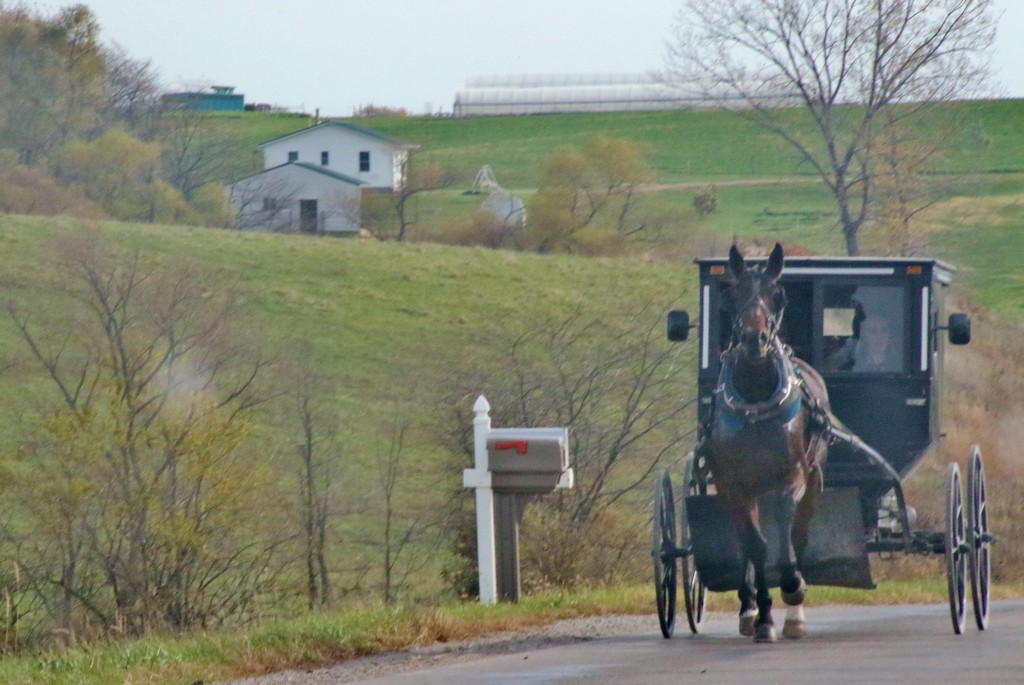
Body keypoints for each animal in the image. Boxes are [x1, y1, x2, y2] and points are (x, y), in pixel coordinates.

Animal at [704, 241, 831, 643]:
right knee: (746, 539)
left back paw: (795, 613)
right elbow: (755, 545)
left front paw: (792, 587)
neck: (756, 401)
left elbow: (786, 531)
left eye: (778, 295)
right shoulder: (734, 484)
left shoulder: (794, 476)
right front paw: (762, 617)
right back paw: (750, 609)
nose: (753, 339)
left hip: (815, 477)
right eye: (731, 294)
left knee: (800, 534)